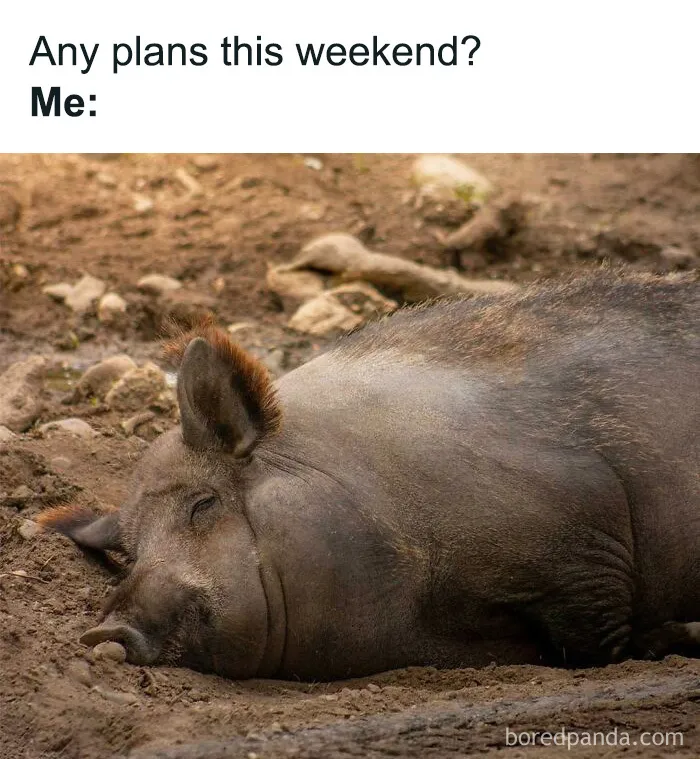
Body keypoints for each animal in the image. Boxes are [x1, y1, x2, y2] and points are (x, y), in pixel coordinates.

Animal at [39, 274, 699, 680]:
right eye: (130, 551)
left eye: (203, 505)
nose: (103, 631)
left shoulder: (581, 535)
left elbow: (593, 636)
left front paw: (675, 638)